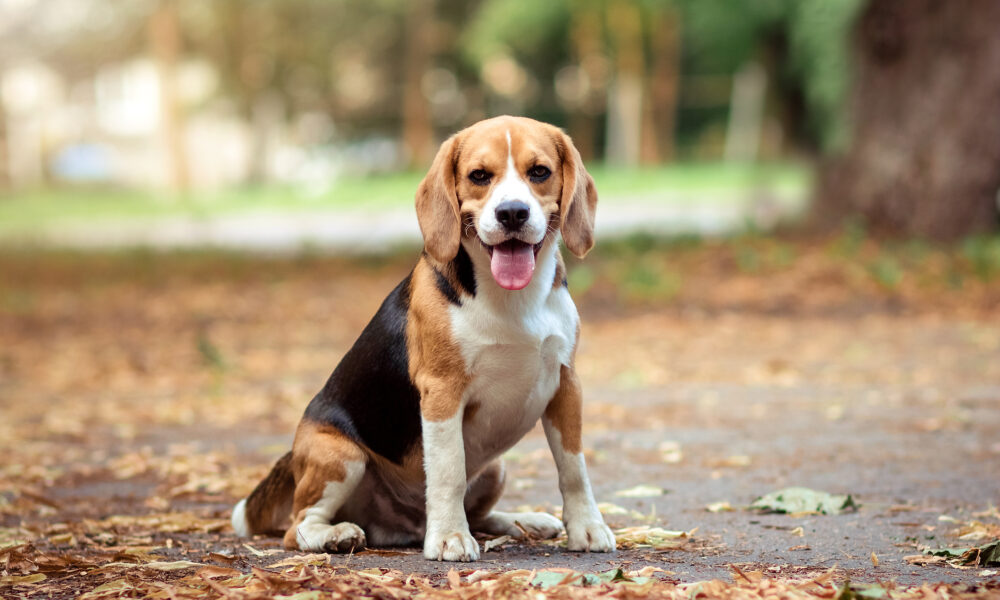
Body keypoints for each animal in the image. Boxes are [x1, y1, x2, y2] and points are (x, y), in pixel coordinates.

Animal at [231, 115, 612, 560]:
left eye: (539, 172)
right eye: (479, 176)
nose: (512, 213)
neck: (513, 300)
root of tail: (403, 526)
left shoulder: (567, 385)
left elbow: (574, 469)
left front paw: (586, 528)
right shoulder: (442, 393)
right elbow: (448, 472)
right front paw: (448, 537)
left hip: (496, 467)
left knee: (481, 516)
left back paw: (523, 522)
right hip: (340, 455)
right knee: (297, 526)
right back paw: (336, 535)